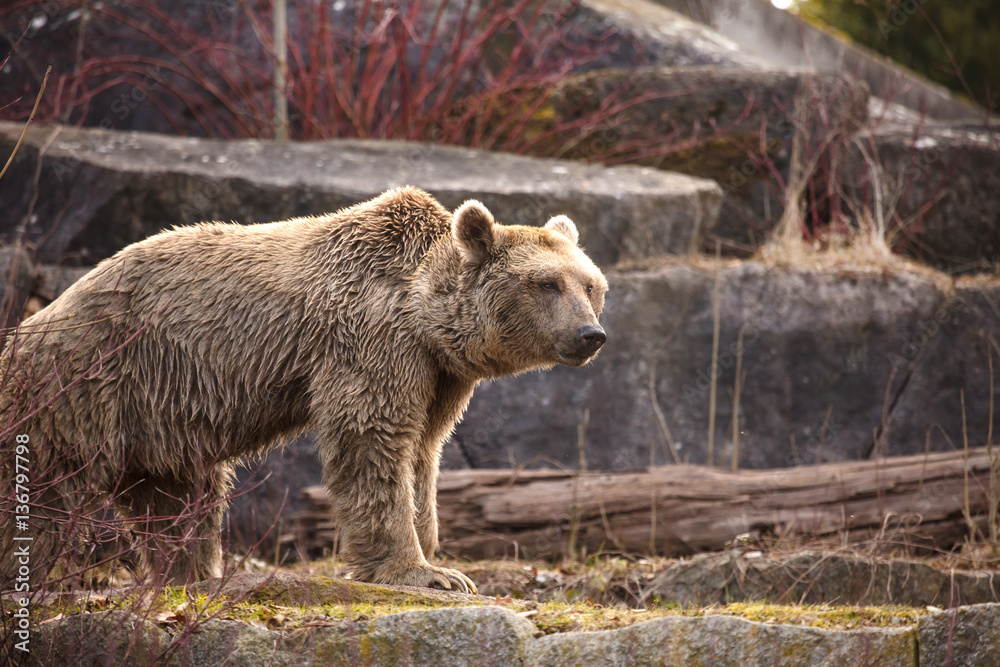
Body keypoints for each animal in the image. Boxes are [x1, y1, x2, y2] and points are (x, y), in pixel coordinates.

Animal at [0, 187, 608, 594]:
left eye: (592, 285)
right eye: (546, 283)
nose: (590, 335)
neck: (423, 316)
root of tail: (33, 324)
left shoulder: (439, 375)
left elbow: (422, 452)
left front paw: (437, 554)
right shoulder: (370, 341)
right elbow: (373, 440)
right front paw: (422, 572)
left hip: (161, 415)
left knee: (180, 497)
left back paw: (191, 575)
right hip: (86, 383)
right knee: (46, 491)